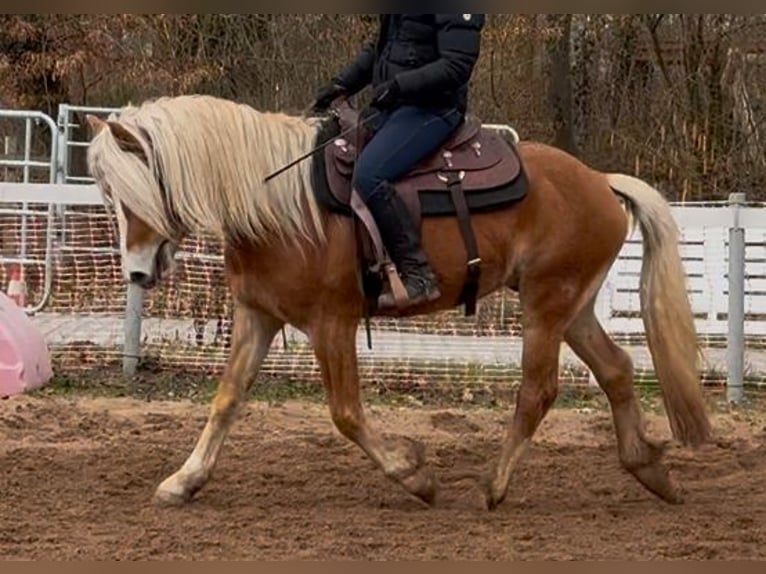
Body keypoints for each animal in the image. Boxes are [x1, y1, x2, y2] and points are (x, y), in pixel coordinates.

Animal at [85, 95, 712, 512]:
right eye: (109, 195)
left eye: (135, 190)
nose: (137, 271)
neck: (281, 205)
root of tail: (601, 181)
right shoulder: (257, 317)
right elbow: (226, 400)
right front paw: (183, 481)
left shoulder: (331, 324)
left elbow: (345, 413)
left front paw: (415, 476)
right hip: (573, 309)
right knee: (617, 370)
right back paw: (650, 472)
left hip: (546, 306)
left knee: (538, 392)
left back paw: (493, 488)